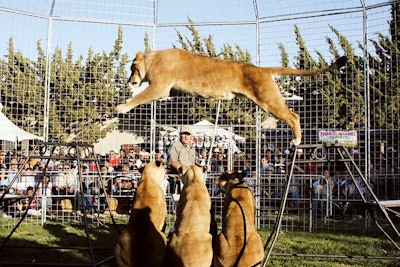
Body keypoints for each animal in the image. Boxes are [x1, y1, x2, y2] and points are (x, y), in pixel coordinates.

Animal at [117, 48, 346, 146]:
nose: (130, 80)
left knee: (293, 116)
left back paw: (297, 140)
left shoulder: (159, 87)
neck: (152, 58)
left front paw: (121, 107)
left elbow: (138, 98)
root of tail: (263, 69)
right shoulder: (170, 90)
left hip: (269, 101)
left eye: (131, 68)